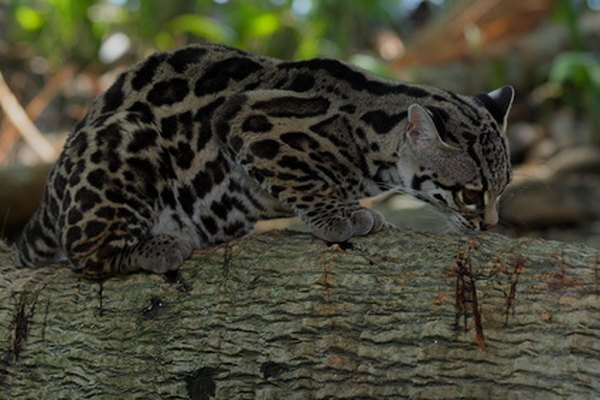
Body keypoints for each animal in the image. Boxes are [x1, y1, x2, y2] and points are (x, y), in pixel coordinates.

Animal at [18, 43, 516, 276]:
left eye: (503, 189)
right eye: (471, 194)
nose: (492, 224)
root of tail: (46, 200)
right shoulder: (247, 118)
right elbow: (303, 178)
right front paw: (337, 215)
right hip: (123, 137)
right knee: (85, 253)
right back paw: (152, 246)